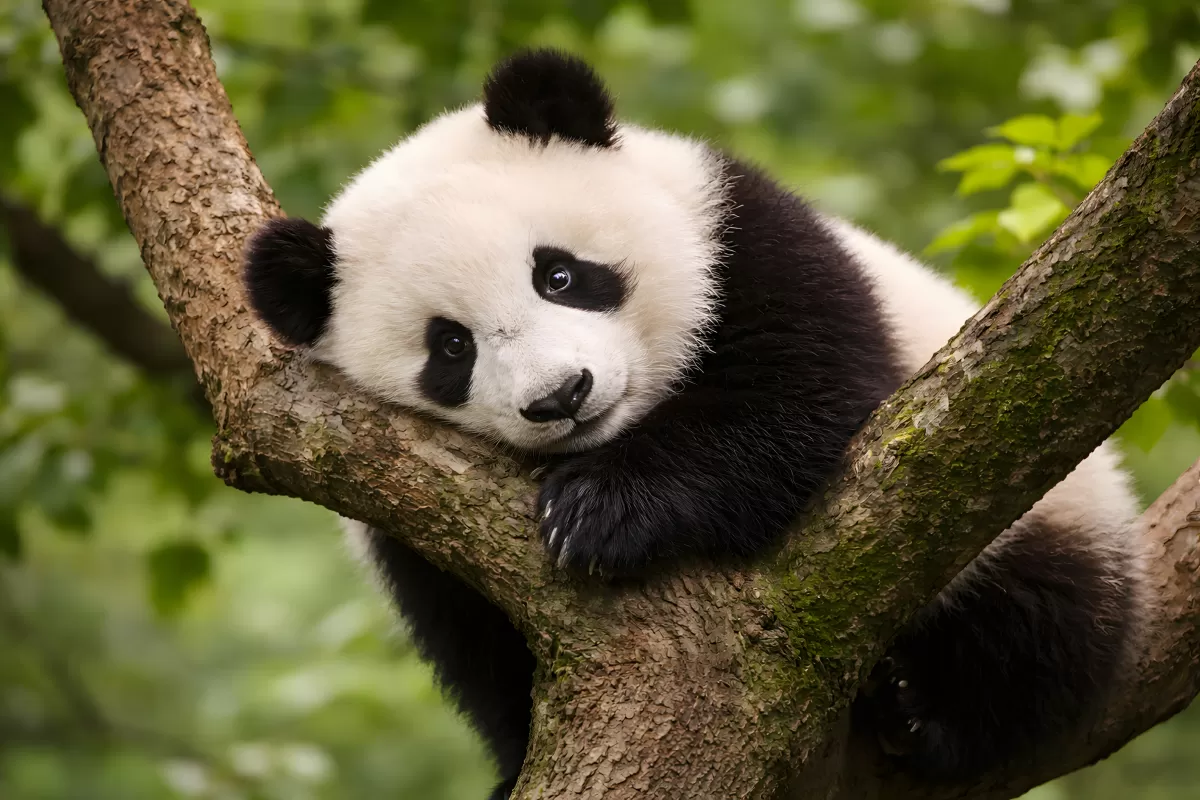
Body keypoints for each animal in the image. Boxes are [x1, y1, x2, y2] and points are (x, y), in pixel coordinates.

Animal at [243, 50, 1146, 798]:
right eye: (451, 347)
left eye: (559, 274)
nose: (562, 395)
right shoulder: (398, 510)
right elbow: (473, 636)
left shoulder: (745, 236)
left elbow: (799, 397)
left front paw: (601, 510)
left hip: (1043, 509)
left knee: (1039, 625)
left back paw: (924, 712)